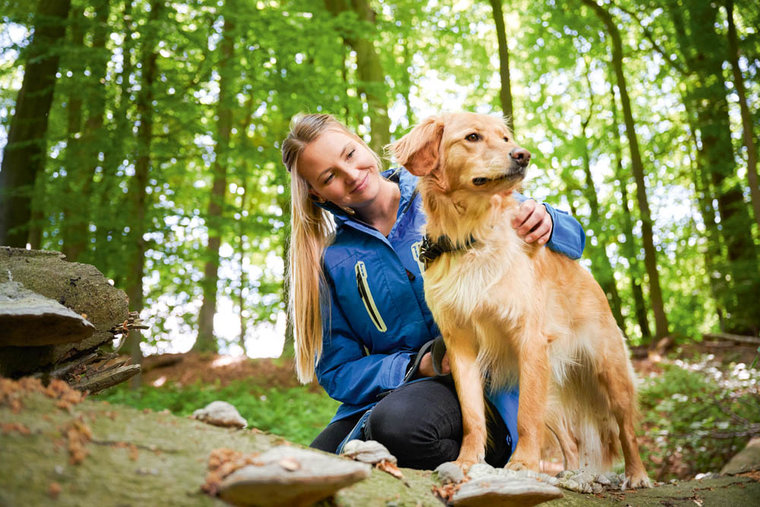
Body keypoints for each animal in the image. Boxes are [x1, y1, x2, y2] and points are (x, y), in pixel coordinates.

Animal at [394, 112, 652, 488]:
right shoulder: (461, 347)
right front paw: (467, 461)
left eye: (505, 138)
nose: (523, 155)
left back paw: (637, 475)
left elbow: (526, 417)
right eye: (472, 137)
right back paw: (570, 473)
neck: (471, 237)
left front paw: (523, 464)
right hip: (551, 392)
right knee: (571, 440)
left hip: (607, 372)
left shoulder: (529, 339)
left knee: (625, 429)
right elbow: (473, 415)